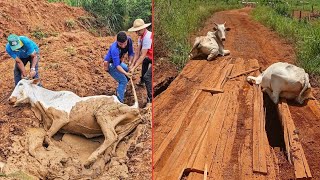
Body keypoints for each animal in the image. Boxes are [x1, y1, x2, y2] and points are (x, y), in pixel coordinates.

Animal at [8, 78, 141, 168]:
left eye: (20, 83)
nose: (10, 100)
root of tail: (133, 108)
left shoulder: (61, 119)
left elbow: (47, 136)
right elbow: (47, 134)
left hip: (102, 113)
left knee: (111, 136)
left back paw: (90, 160)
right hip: (123, 127)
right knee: (115, 141)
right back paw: (106, 156)